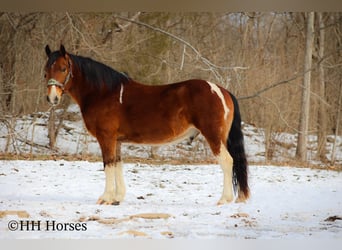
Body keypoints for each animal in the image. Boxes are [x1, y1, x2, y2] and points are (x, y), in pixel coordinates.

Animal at [44, 45, 250, 205]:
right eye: (46, 70)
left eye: (63, 68)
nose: (52, 98)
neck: (103, 93)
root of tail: (221, 90)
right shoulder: (117, 141)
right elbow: (117, 164)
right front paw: (117, 198)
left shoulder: (106, 138)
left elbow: (108, 164)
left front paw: (106, 198)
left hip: (213, 136)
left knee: (227, 161)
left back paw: (224, 199)